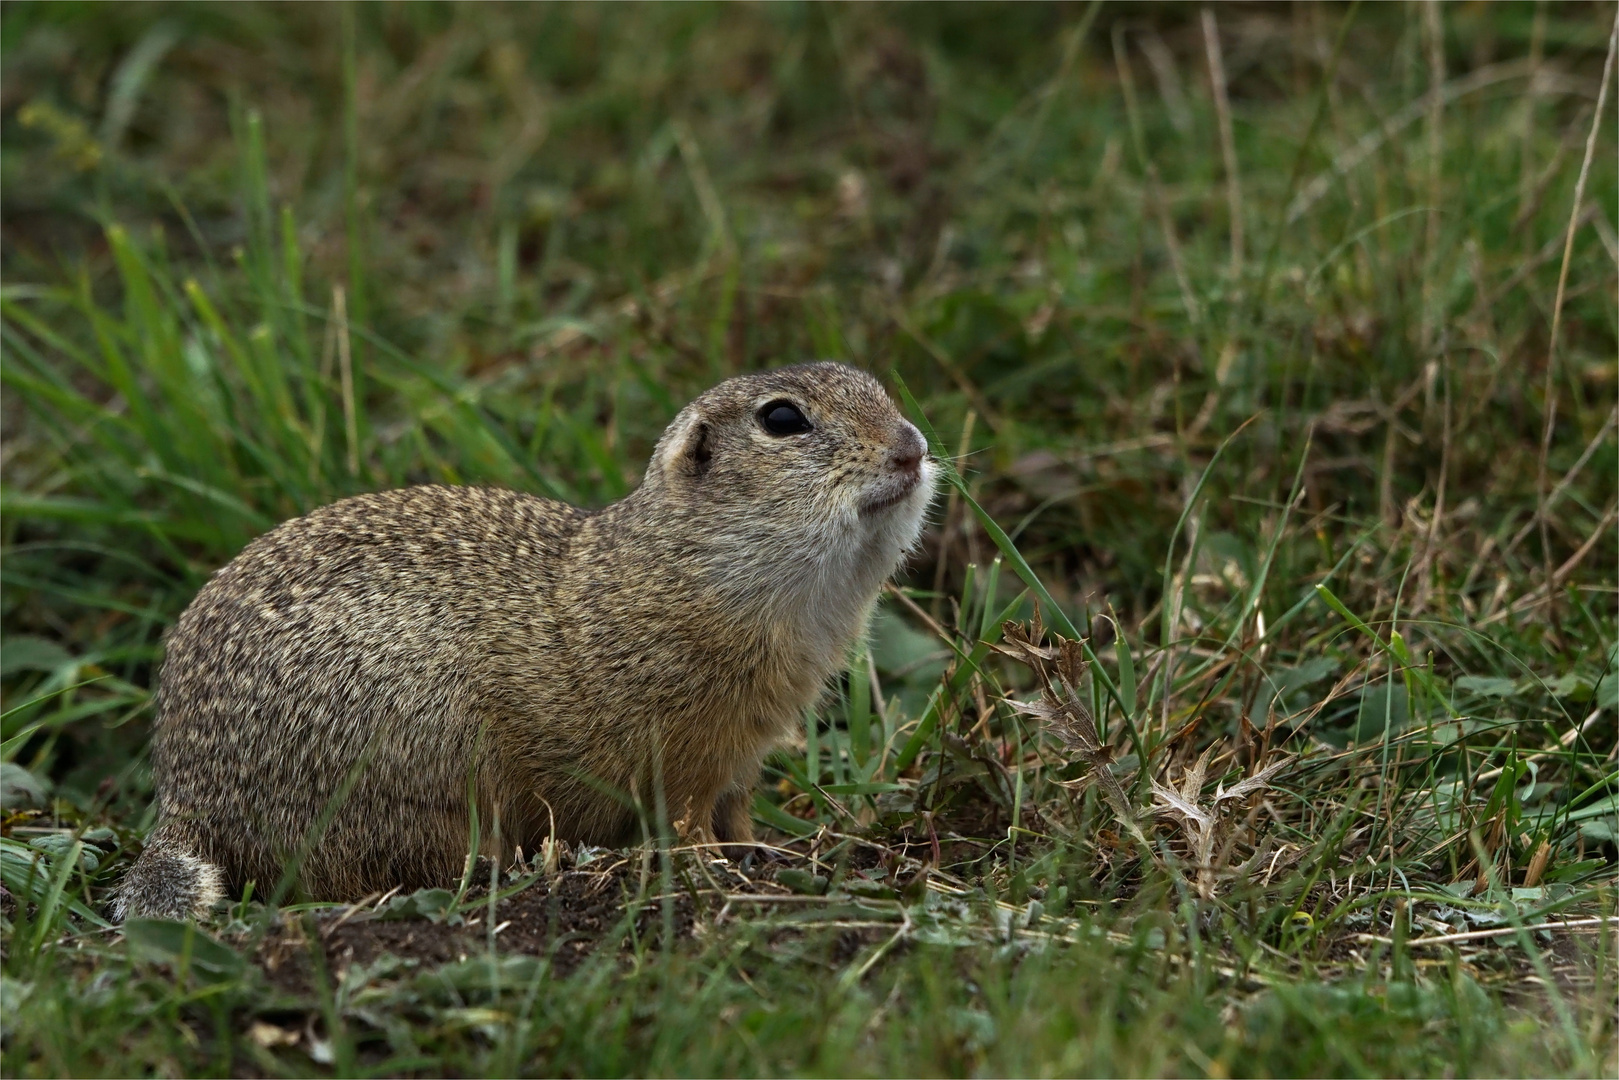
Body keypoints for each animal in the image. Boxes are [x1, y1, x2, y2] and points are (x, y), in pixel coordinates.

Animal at [114, 362, 939, 919]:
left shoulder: (740, 757)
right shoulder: (682, 752)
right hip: (428, 761)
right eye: (782, 420)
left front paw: (772, 850)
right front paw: (718, 872)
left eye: (874, 385)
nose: (911, 447)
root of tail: (184, 798)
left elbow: (737, 814)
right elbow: (686, 823)